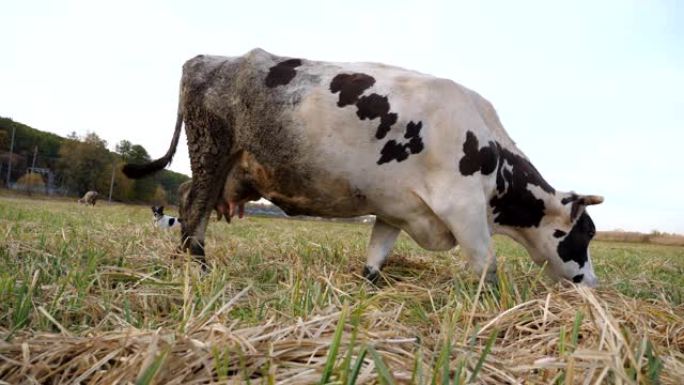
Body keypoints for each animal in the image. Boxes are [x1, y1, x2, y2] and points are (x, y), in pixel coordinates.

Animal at [123, 48, 604, 284]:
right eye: (586, 233)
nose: (591, 284)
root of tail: (207, 59)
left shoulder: (396, 209)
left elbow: (376, 259)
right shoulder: (463, 207)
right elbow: (487, 266)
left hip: (223, 165)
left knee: (189, 198)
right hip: (210, 150)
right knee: (193, 208)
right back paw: (199, 268)